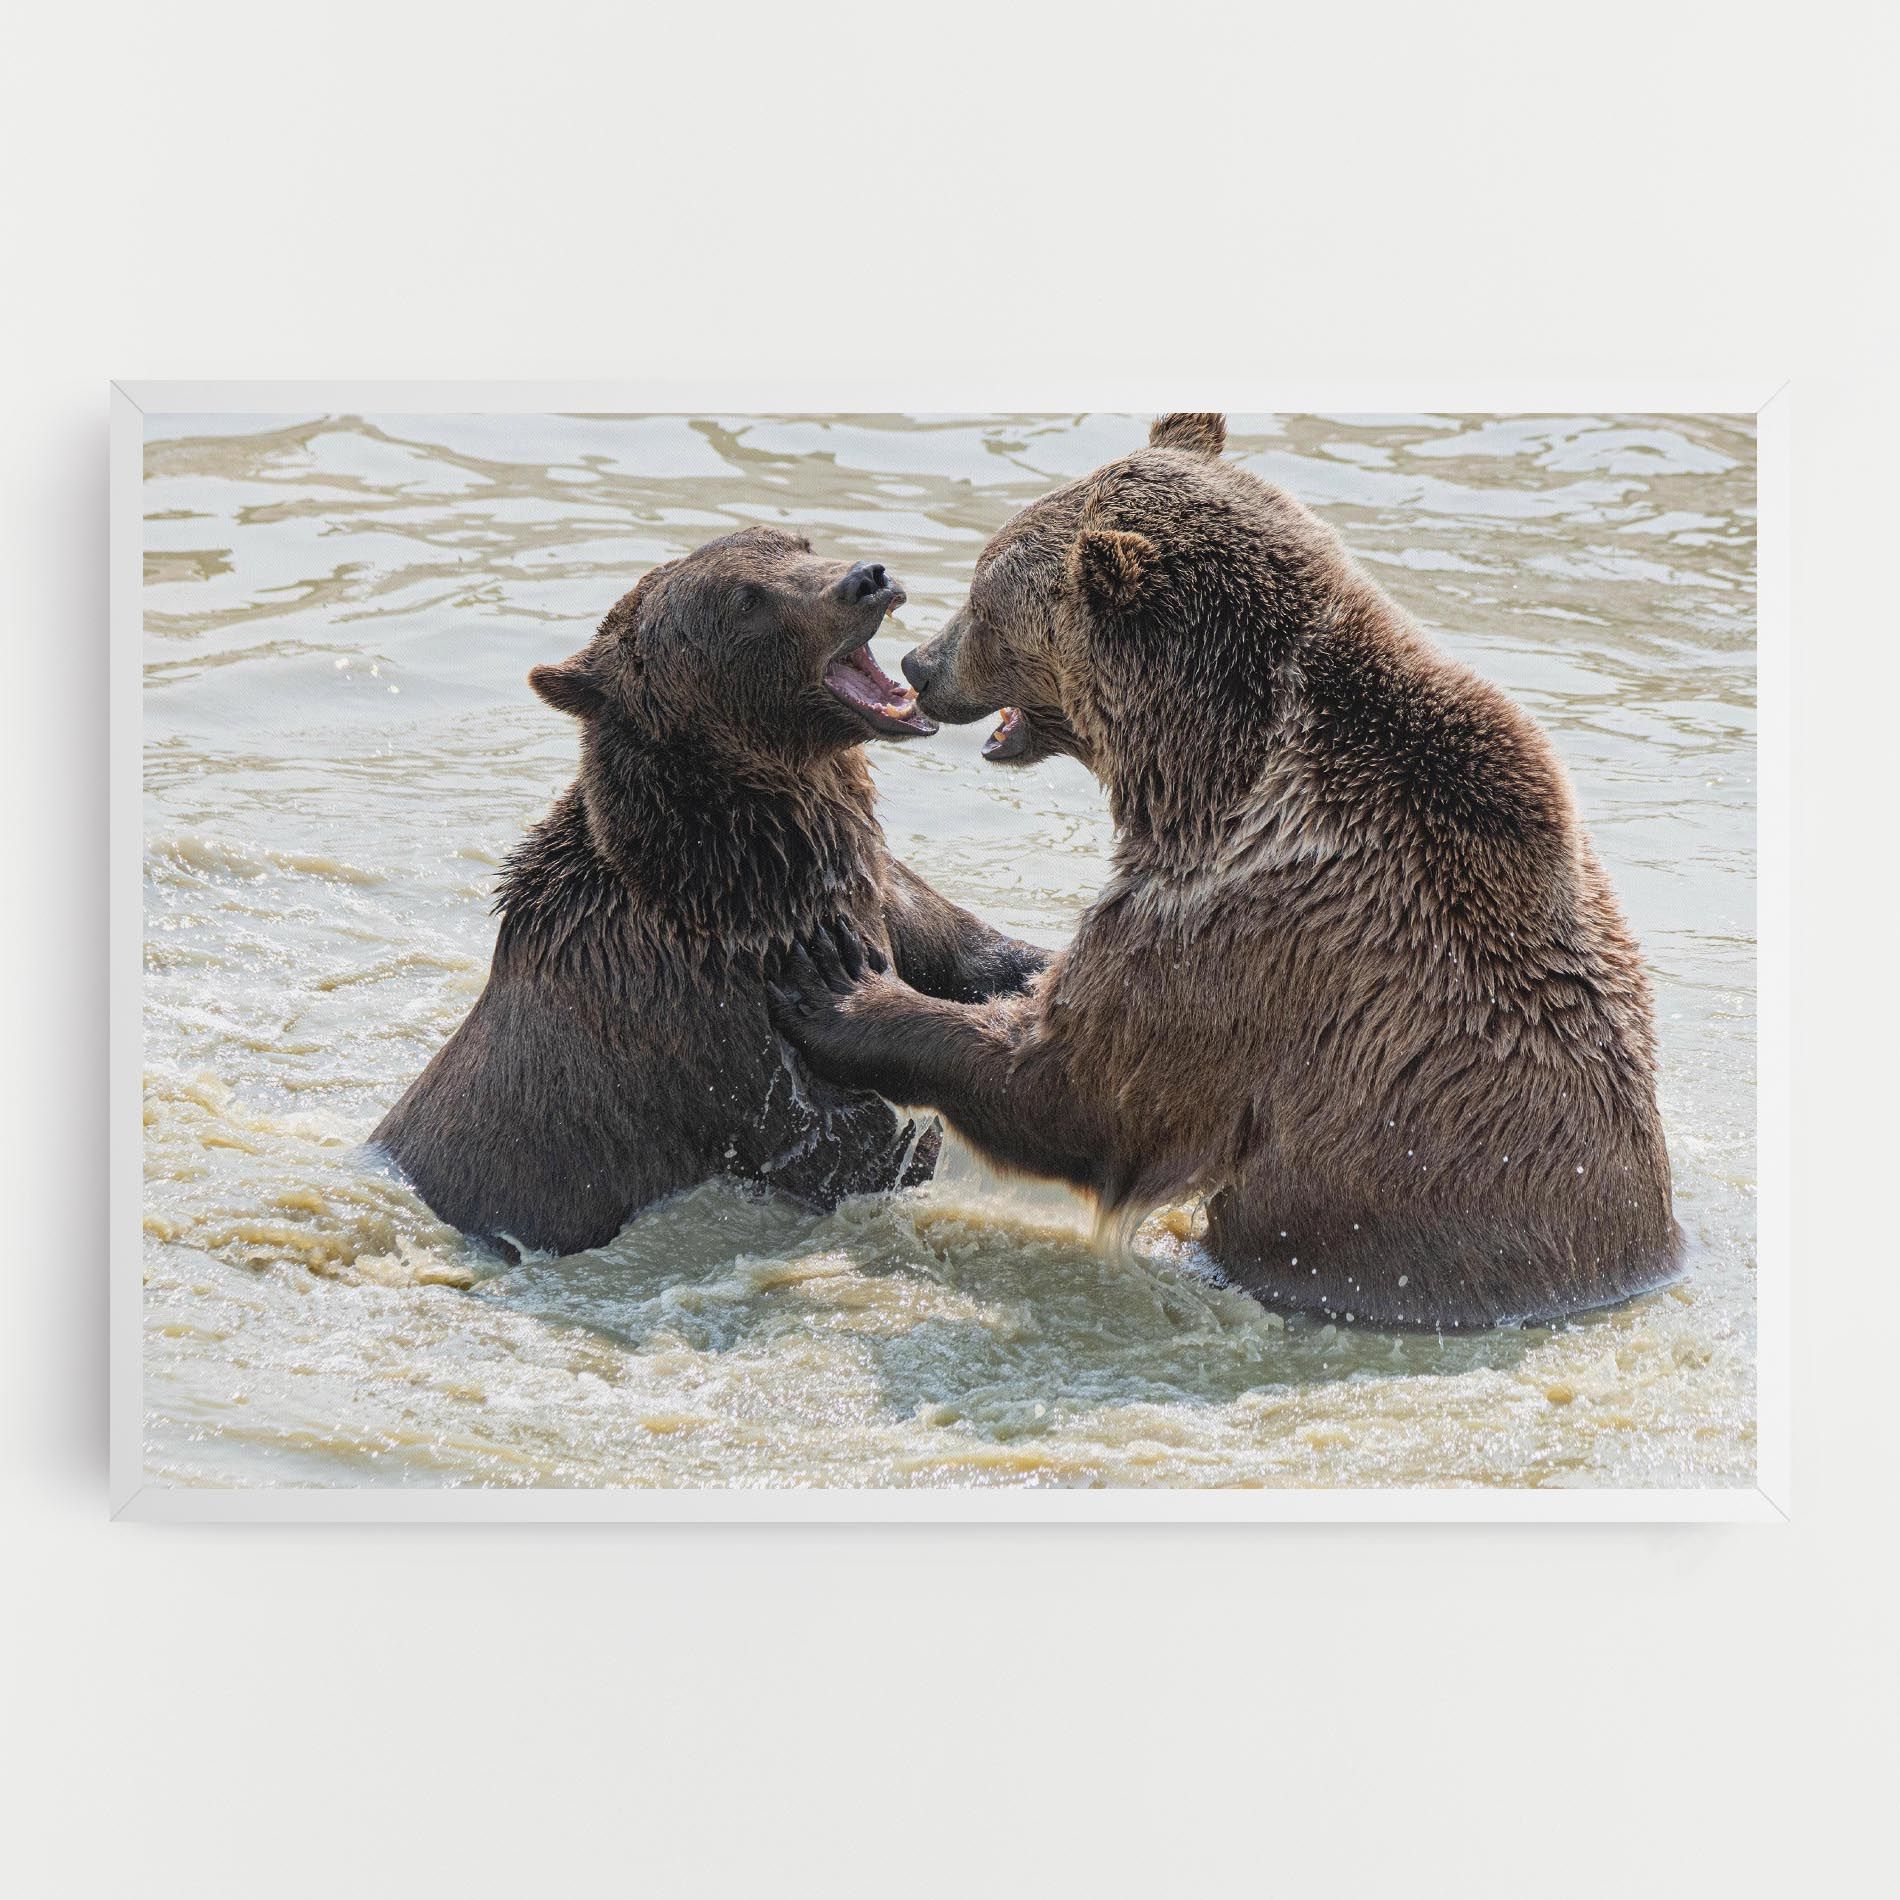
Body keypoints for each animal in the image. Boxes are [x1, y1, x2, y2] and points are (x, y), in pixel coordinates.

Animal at [370, 525, 1048, 1260]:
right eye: (746, 600)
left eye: (798, 543)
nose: (867, 578)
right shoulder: (719, 1027)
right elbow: (852, 1146)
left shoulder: (879, 890)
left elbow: (977, 953)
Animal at [767, 414, 1681, 1331]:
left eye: (985, 599)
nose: (921, 664)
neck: (1207, 774)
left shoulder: (1242, 931)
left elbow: (1079, 1086)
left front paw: (841, 989)